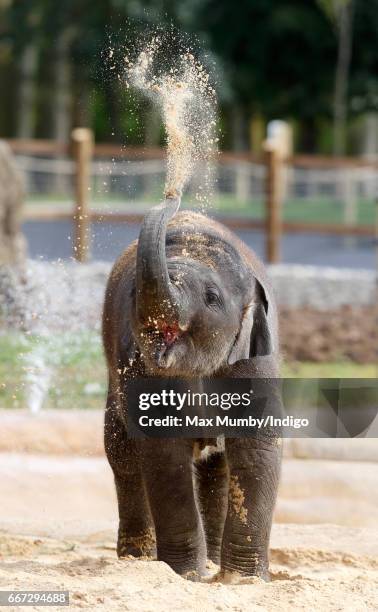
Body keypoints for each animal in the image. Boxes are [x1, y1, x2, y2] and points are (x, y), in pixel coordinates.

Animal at [102, 195, 280, 580]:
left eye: (211, 297)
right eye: (134, 293)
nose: (171, 196)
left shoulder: (254, 363)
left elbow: (257, 447)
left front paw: (242, 581)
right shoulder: (142, 370)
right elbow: (165, 455)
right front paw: (184, 576)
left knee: (217, 468)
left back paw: (212, 562)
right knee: (122, 456)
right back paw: (136, 560)